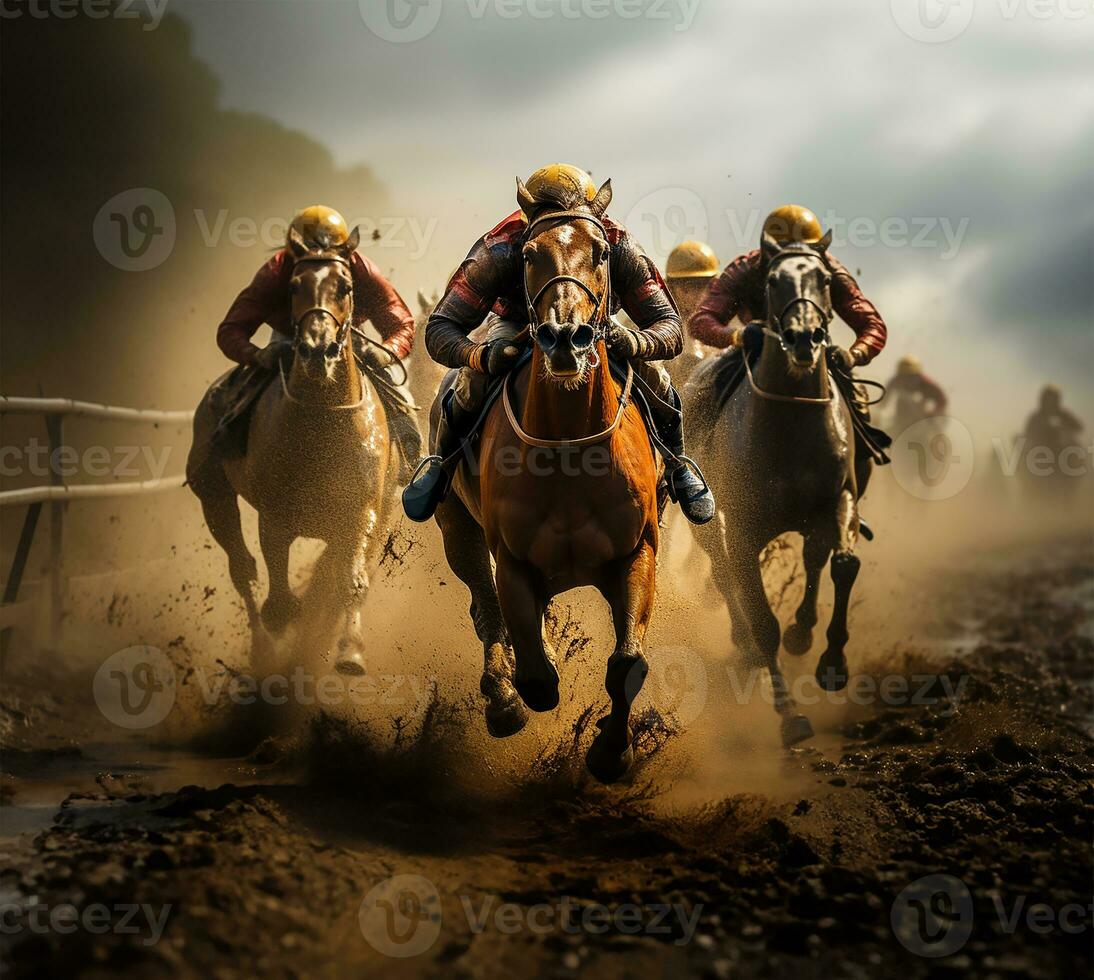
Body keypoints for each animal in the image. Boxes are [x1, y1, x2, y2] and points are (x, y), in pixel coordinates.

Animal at [185, 228, 396, 673]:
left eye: (346, 287)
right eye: (294, 286)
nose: (318, 349)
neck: (322, 419)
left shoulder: (361, 510)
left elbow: (350, 582)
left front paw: (350, 650)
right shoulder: (276, 515)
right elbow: (280, 600)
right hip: (213, 494)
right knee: (241, 569)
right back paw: (262, 650)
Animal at [431, 179, 660, 783]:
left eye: (601, 253)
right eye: (530, 256)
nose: (565, 338)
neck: (569, 451)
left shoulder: (638, 551)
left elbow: (627, 662)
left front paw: (612, 750)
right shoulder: (512, 559)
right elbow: (536, 674)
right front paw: (527, 683)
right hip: (455, 526)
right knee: (485, 608)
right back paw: (501, 700)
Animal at [682, 229, 862, 748]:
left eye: (825, 280)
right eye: (773, 281)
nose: (805, 338)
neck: (791, 421)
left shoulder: (839, 499)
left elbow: (843, 563)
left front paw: (832, 662)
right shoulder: (742, 528)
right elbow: (763, 621)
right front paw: (789, 715)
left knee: (817, 558)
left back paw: (804, 633)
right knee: (723, 573)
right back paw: (743, 648)